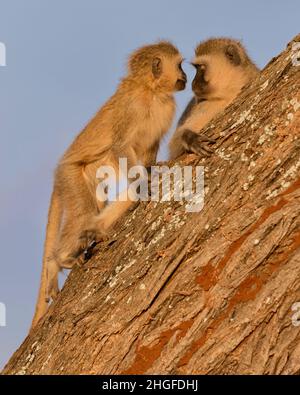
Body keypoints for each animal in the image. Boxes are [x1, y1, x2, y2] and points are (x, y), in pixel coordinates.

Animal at [30, 41, 185, 330]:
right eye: (180, 64)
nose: (185, 76)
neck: (151, 91)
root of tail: (59, 169)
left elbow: (147, 151)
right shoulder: (134, 109)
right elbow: (121, 146)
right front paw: (143, 183)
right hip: (71, 175)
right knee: (84, 212)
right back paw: (59, 259)